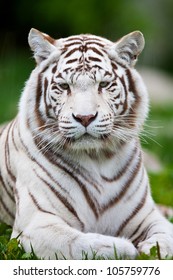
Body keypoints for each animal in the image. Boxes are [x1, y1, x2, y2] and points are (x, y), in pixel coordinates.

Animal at [0, 28, 173, 258]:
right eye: (64, 86)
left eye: (104, 85)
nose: (85, 117)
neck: (97, 158)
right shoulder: (36, 223)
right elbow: (79, 243)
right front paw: (125, 248)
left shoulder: (146, 216)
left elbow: (166, 235)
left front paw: (154, 249)